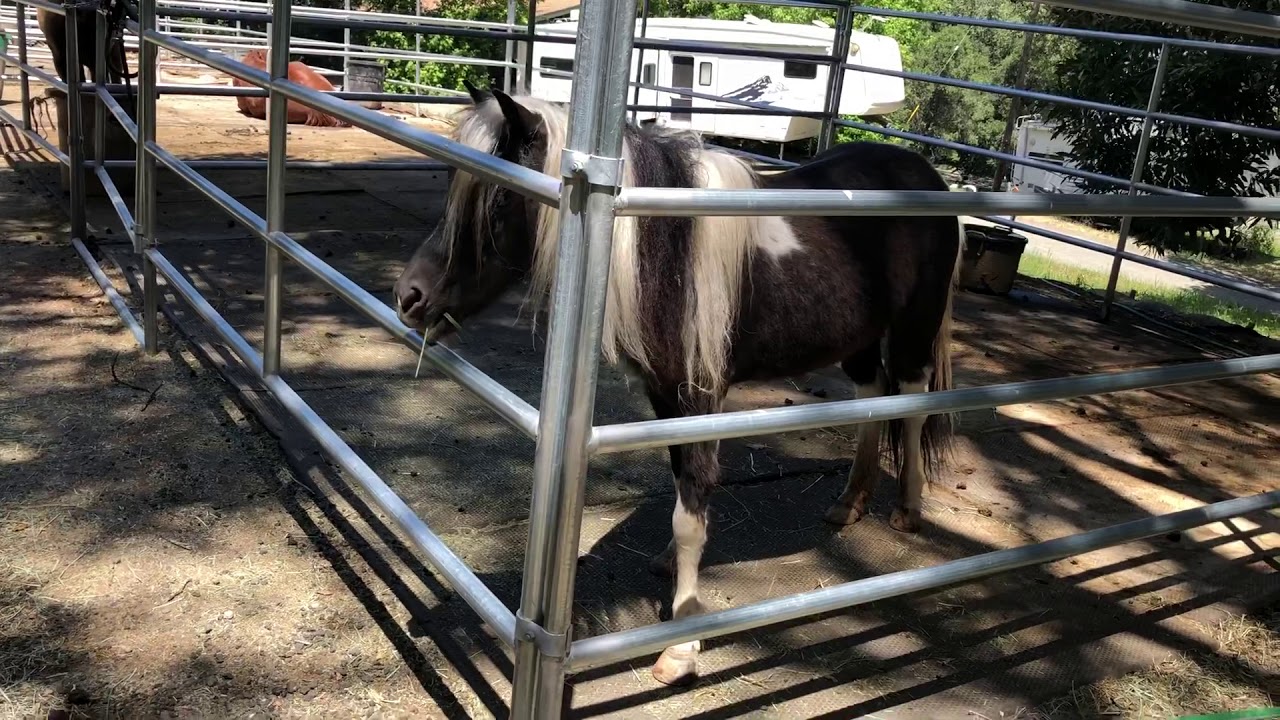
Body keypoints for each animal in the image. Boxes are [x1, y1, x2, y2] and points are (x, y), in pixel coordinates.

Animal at [393, 82, 961, 686]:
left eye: (500, 200)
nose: (410, 296)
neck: (667, 253)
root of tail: (924, 174)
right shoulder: (666, 396)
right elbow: (678, 483)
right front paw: (669, 563)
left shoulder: (701, 395)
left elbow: (693, 502)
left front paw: (682, 640)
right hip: (857, 341)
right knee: (872, 397)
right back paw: (850, 501)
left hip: (914, 330)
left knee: (914, 401)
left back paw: (908, 510)